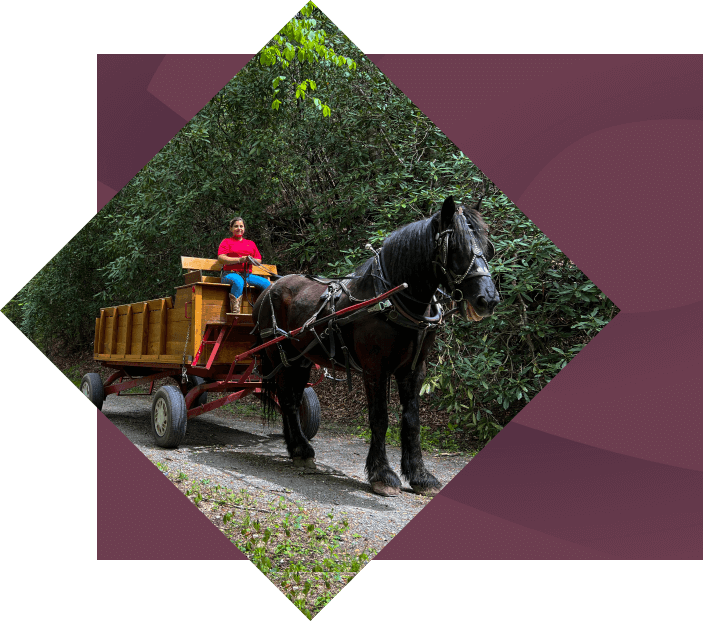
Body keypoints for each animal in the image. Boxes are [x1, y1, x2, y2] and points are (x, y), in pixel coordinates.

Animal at [253, 196, 500, 496]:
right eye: (456, 247)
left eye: (487, 247)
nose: (488, 299)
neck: (393, 299)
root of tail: (269, 288)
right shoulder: (375, 369)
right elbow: (379, 417)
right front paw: (382, 475)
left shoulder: (414, 369)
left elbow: (411, 420)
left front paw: (419, 476)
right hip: (280, 357)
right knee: (287, 399)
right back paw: (300, 449)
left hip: (301, 360)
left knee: (293, 396)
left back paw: (297, 449)